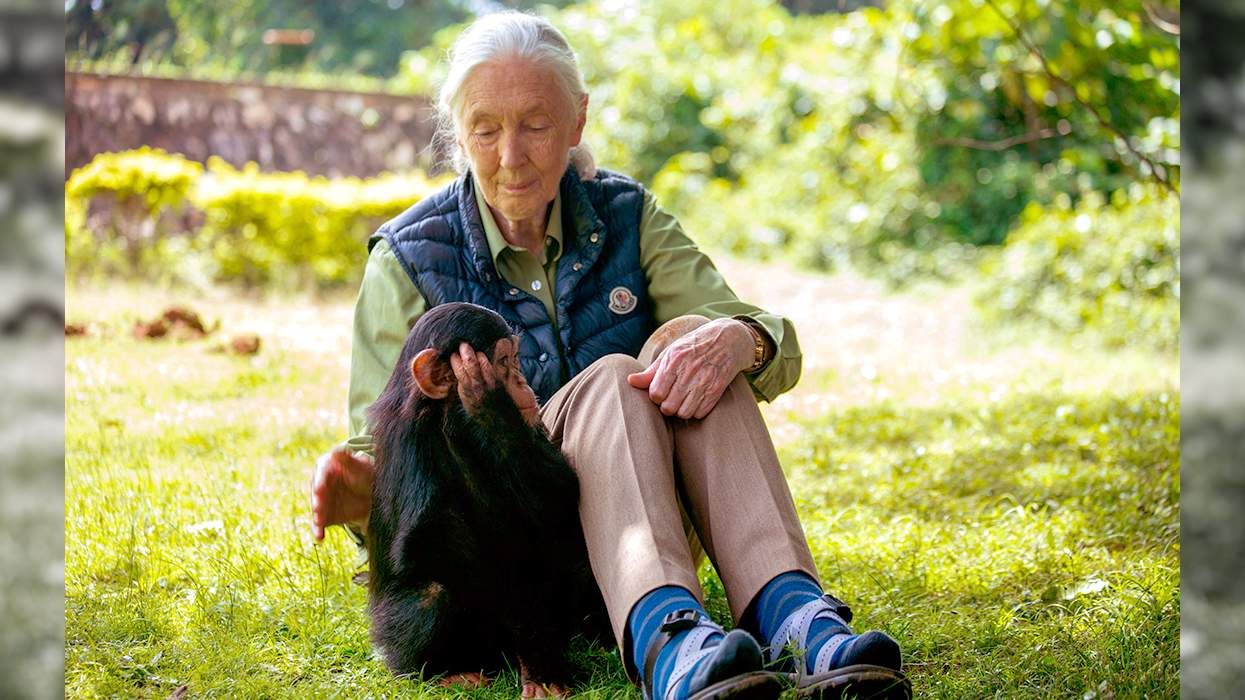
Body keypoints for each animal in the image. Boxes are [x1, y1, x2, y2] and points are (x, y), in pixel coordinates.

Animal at [365, 301, 607, 696]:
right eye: (505, 360)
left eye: (515, 360)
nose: (522, 382)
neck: (451, 422)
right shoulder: (414, 449)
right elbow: (446, 550)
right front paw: (541, 661)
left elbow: (560, 496)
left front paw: (488, 405)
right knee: (433, 594)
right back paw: (448, 671)